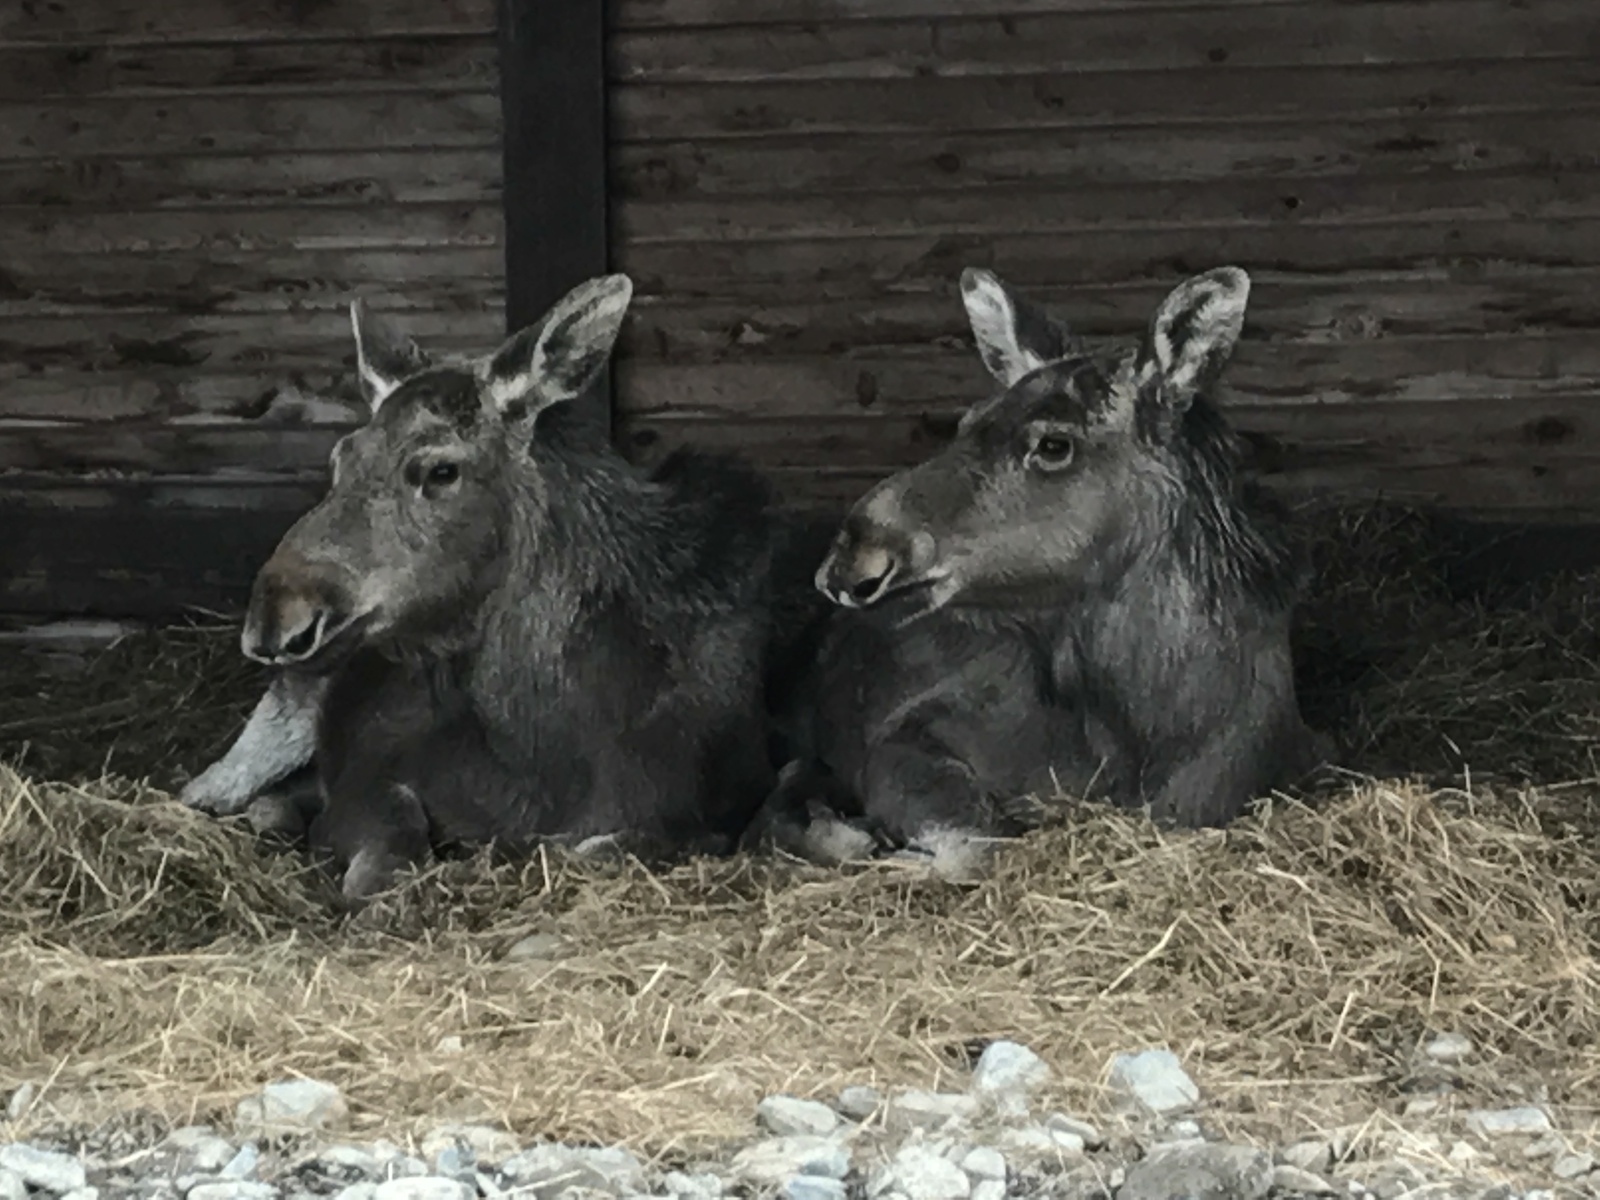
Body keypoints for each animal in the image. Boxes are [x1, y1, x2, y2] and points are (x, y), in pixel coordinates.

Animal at [185, 276, 832, 902]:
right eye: (341, 457)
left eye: (441, 469)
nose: (277, 615)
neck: (541, 745)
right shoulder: (368, 769)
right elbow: (391, 839)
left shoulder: (707, 810)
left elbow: (600, 846)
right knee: (209, 790)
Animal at [748, 265, 1324, 883]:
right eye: (967, 419)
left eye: (1053, 443)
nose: (853, 557)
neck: (1147, 741)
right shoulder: (902, 739)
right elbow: (979, 844)